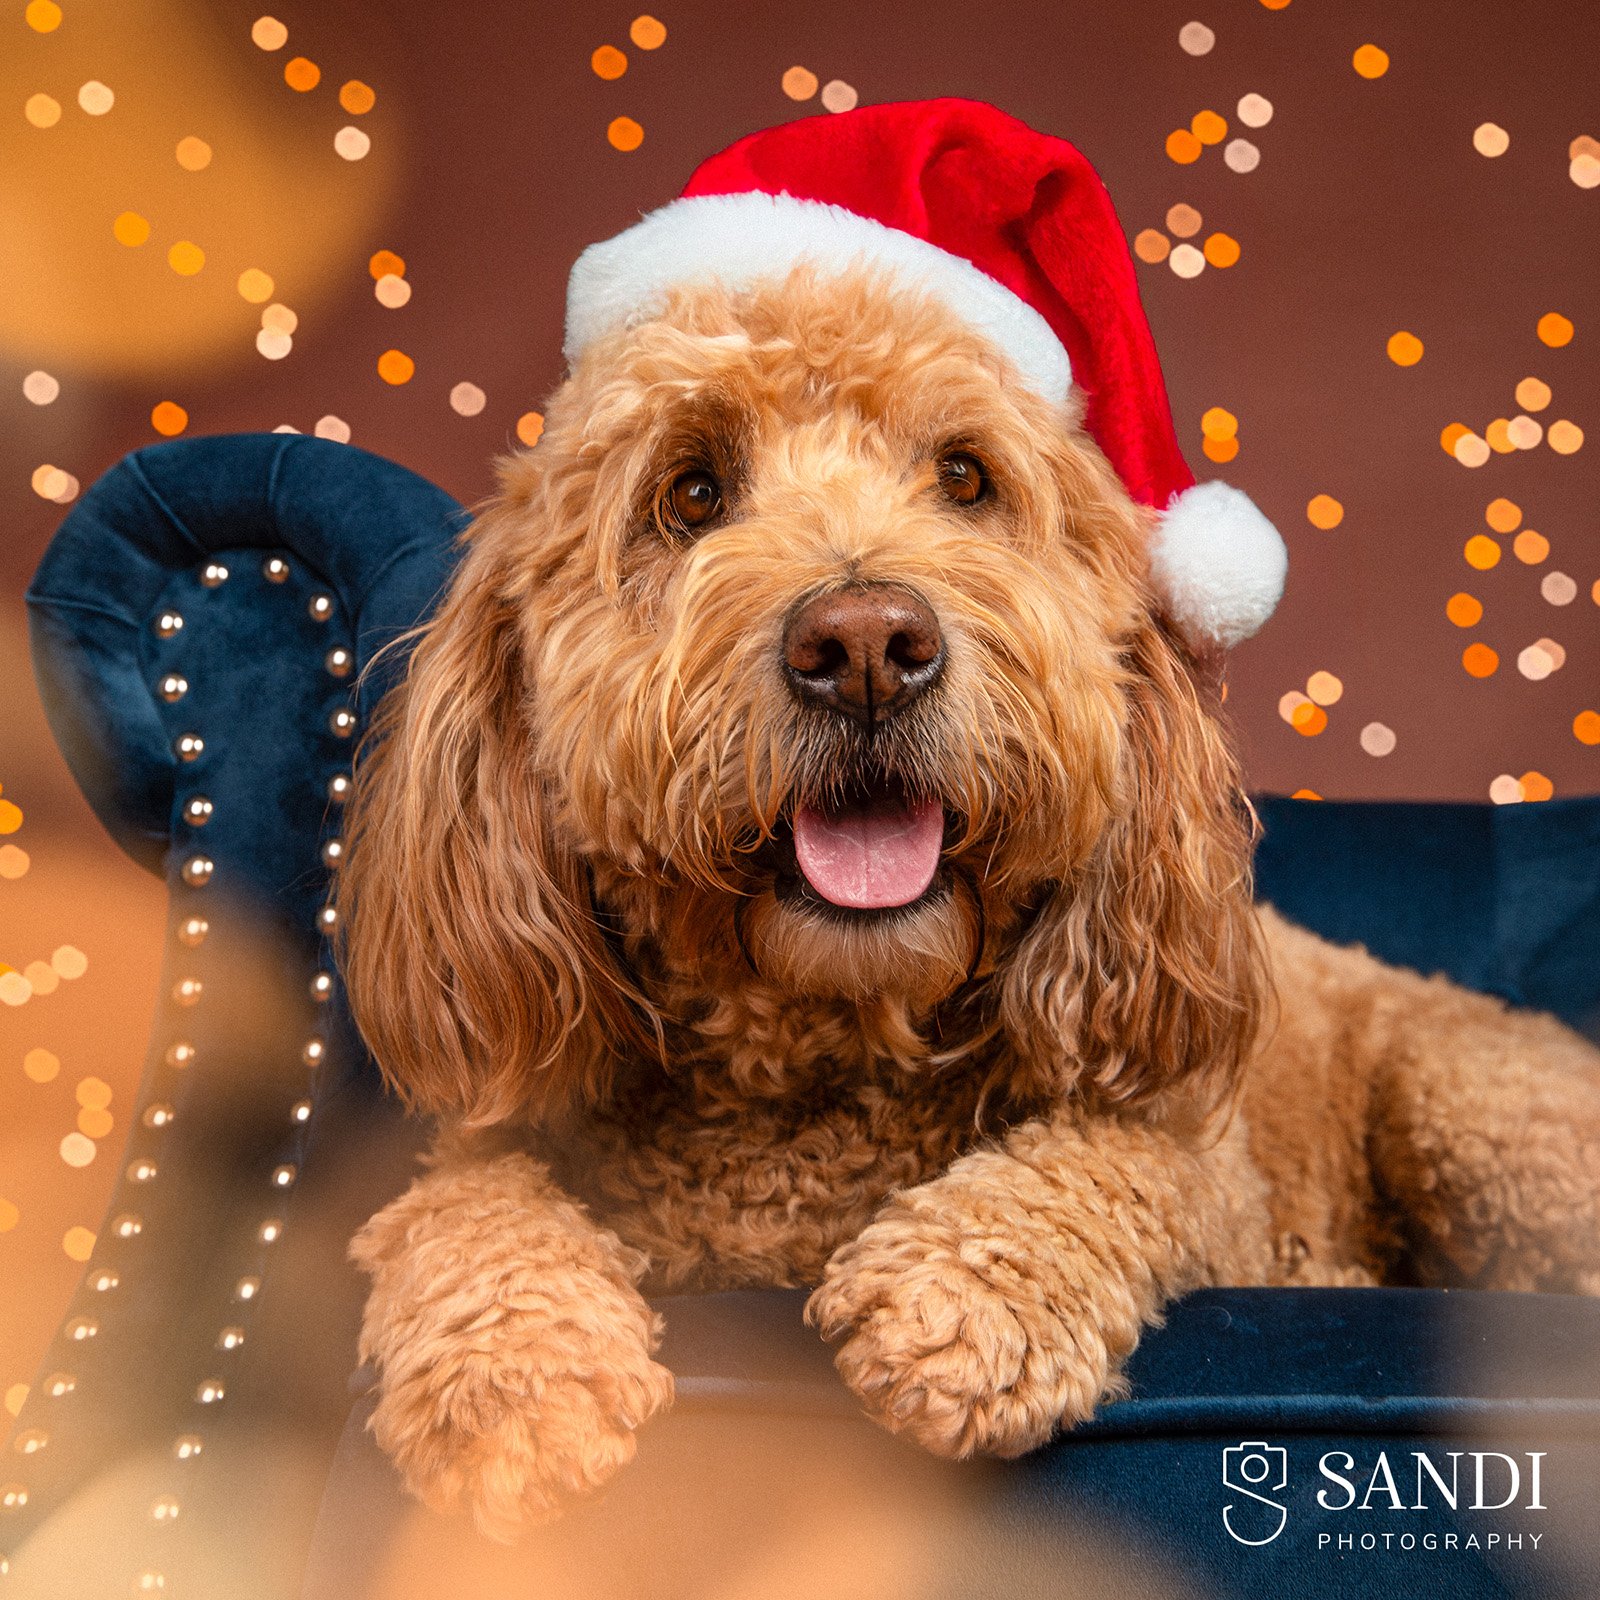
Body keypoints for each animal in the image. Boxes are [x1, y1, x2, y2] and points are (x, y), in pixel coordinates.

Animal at [340, 268, 1600, 1542]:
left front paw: (961, 1301)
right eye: (690, 492)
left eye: (963, 476)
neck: (824, 1072)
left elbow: (1111, 1156)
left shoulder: (1199, 1153)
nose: (864, 644)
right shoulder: (502, 1126)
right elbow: (460, 1196)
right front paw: (513, 1379)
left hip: (1478, 1114)